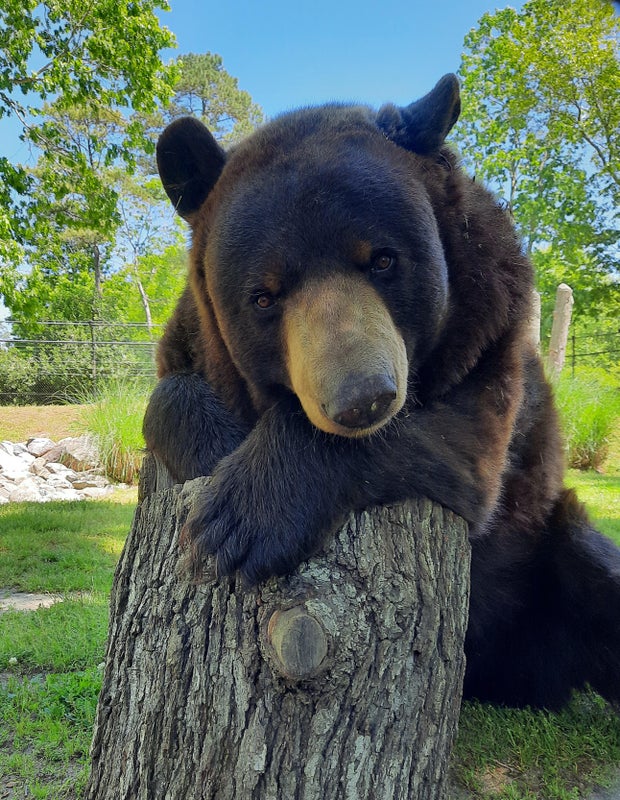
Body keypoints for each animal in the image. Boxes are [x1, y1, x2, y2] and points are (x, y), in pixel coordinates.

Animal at [143, 74, 620, 710]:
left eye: (384, 259)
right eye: (264, 295)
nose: (362, 398)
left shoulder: (491, 338)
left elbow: (462, 449)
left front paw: (243, 520)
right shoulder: (193, 336)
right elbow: (169, 391)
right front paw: (218, 456)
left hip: (549, 542)